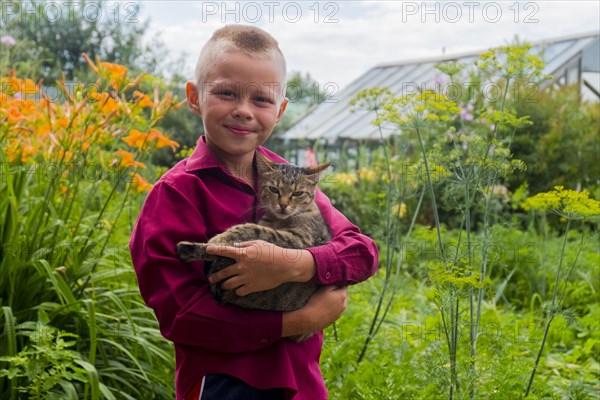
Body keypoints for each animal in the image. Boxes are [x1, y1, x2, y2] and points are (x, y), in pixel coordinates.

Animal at [176, 155, 330, 340]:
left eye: (297, 193)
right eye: (274, 189)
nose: (283, 205)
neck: (278, 220)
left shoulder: (298, 241)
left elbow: (252, 229)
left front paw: (218, 238)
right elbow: (255, 229)